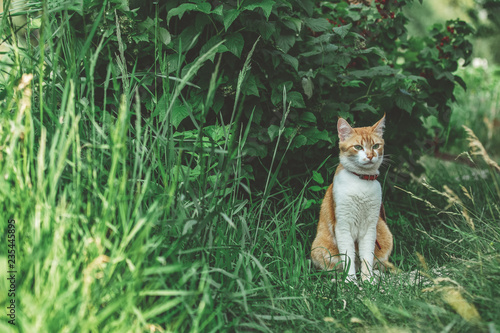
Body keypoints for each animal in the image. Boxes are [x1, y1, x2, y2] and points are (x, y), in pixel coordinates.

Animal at [308, 115, 394, 282]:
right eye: (358, 147)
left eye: (375, 146)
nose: (370, 156)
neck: (361, 182)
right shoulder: (342, 226)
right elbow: (348, 257)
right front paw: (350, 281)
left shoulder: (370, 227)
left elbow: (366, 256)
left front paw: (368, 281)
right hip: (320, 247)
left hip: (384, 232)